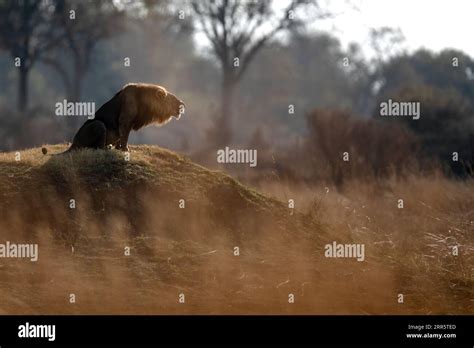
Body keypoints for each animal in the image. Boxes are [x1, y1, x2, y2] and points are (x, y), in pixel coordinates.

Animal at [47, 82, 185, 154]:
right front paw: (125, 150)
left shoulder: (126, 123)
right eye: (172, 100)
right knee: (96, 148)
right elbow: (124, 136)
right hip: (98, 125)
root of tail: (73, 143)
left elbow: (122, 136)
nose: (182, 104)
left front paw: (119, 148)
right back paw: (106, 148)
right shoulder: (125, 120)